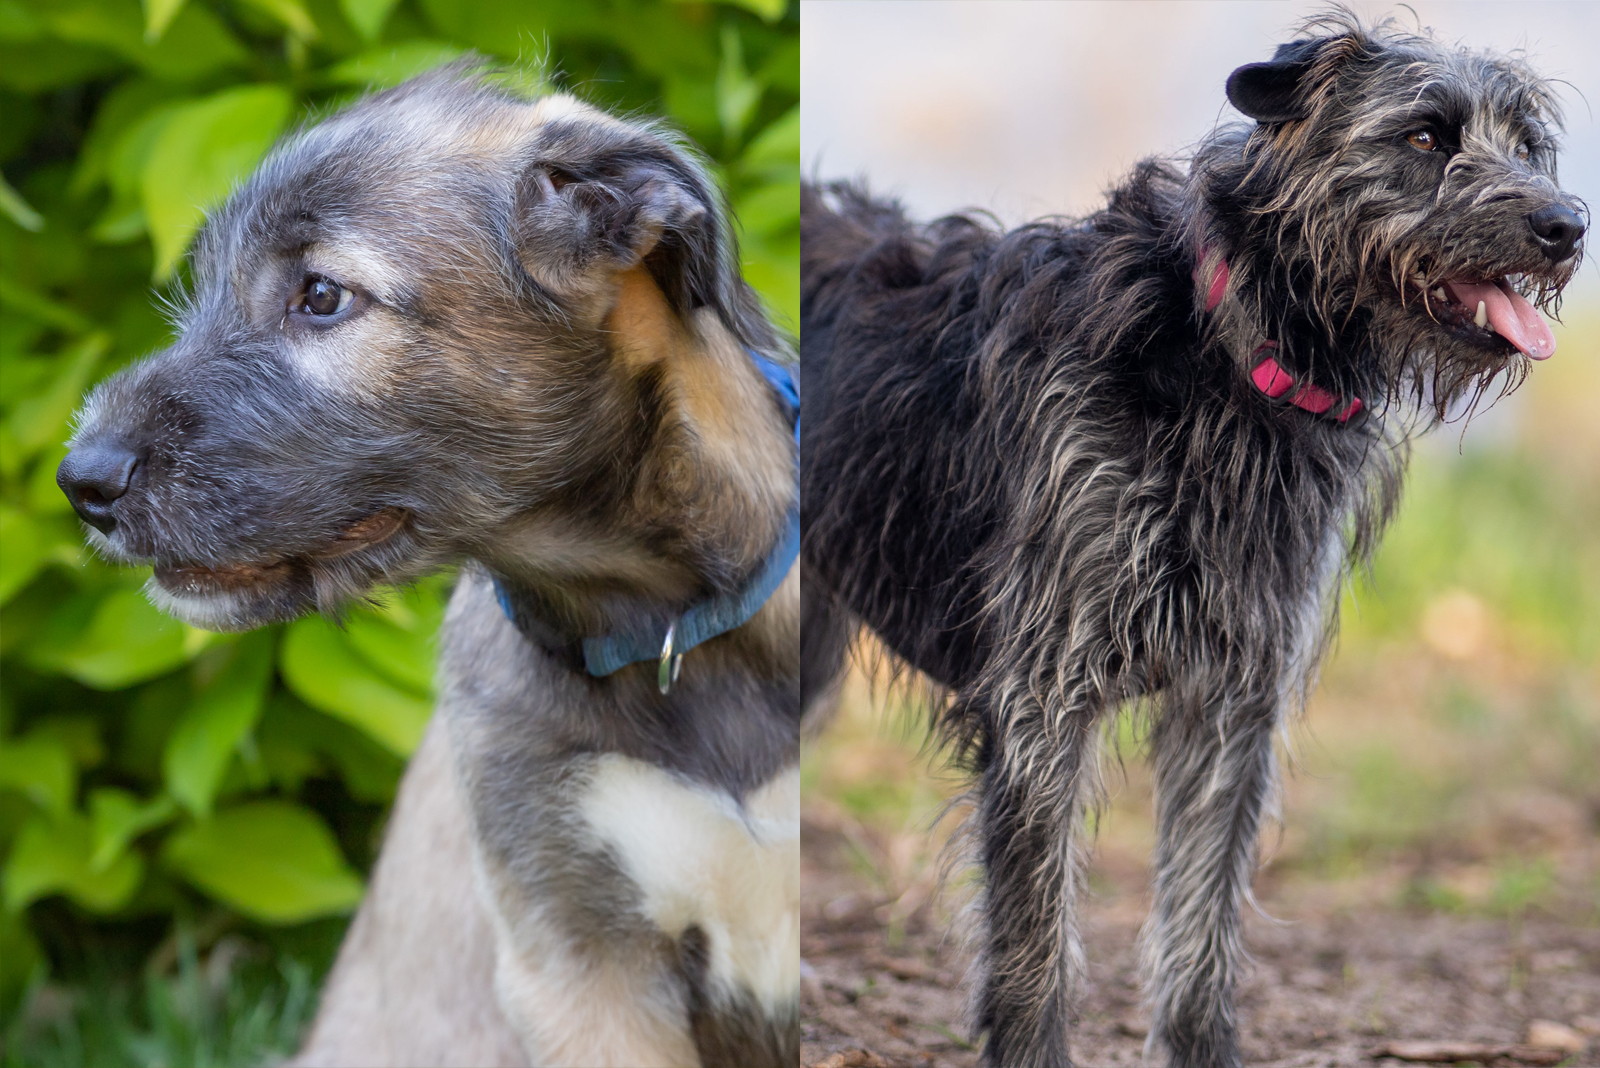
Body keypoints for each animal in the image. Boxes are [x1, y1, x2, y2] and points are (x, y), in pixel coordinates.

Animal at [806, 10, 1580, 1068]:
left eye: (1529, 144)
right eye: (1426, 135)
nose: (1568, 225)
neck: (1227, 356)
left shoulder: (1234, 701)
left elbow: (1203, 930)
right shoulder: (1044, 696)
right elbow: (1035, 943)